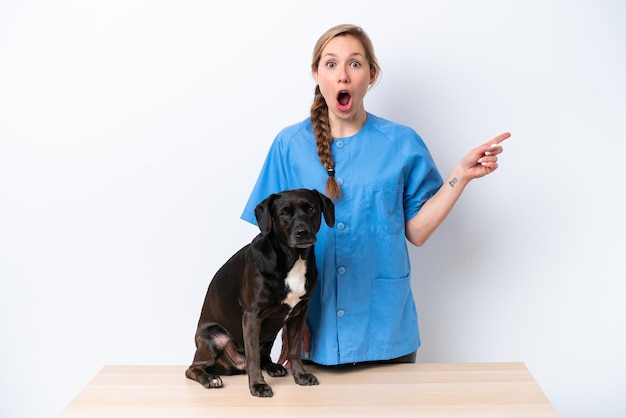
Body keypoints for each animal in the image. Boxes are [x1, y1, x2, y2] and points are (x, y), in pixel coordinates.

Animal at [184, 188, 334, 396]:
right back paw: (210, 378)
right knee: (193, 368)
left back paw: (273, 367)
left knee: (264, 357)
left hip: (270, 334)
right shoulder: (252, 316)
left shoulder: (298, 315)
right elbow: (253, 355)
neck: (293, 259)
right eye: (284, 213)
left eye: (311, 209)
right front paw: (257, 385)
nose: (303, 232)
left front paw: (301, 375)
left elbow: (294, 350)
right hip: (214, 337)